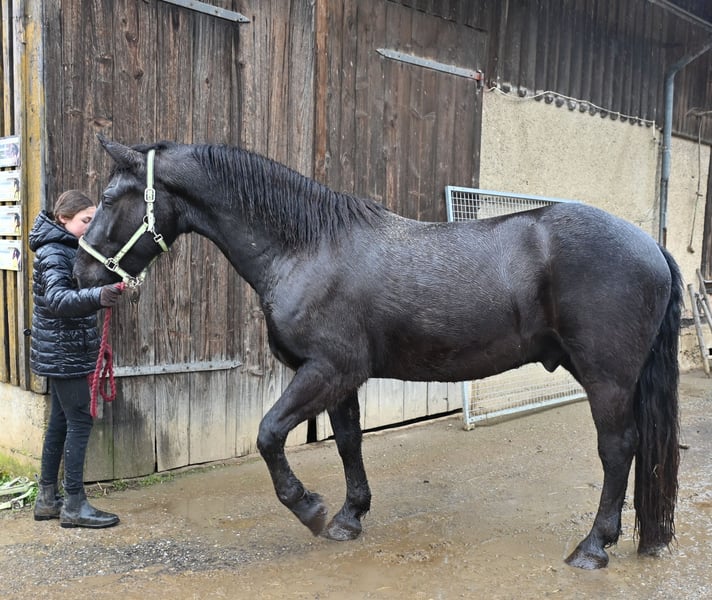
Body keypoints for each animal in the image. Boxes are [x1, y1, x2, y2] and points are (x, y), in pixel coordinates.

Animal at [73, 137, 682, 570]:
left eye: (106, 199)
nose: (80, 273)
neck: (308, 247)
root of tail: (651, 245)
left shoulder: (326, 370)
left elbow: (269, 434)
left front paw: (311, 509)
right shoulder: (341, 379)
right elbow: (348, 442)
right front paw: (349, 516)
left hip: (606, 378)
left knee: (617, 449)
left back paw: (593, 547)